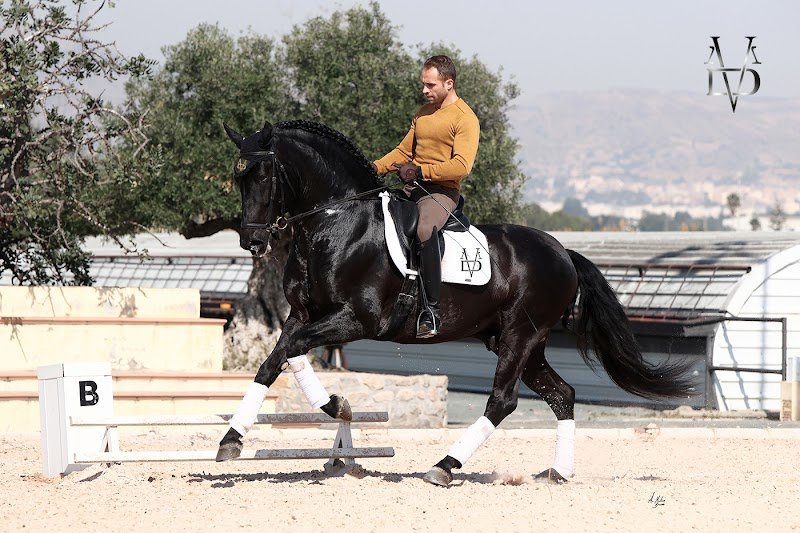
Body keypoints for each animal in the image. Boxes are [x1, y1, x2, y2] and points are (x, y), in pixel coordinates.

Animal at [215, 119, 694, 486]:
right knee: (562, 395)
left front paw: (336, 406)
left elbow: (292, 352)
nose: (252, 242)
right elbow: (275, 360)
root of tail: (563, 253)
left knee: (503, 401)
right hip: (519, 341)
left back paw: (444, 467)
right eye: (238, 178)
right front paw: (232, 439)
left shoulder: (355, 320)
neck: (336, 224)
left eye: (263, 176)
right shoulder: (302, 316)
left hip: (521, 335)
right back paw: (557, 473)